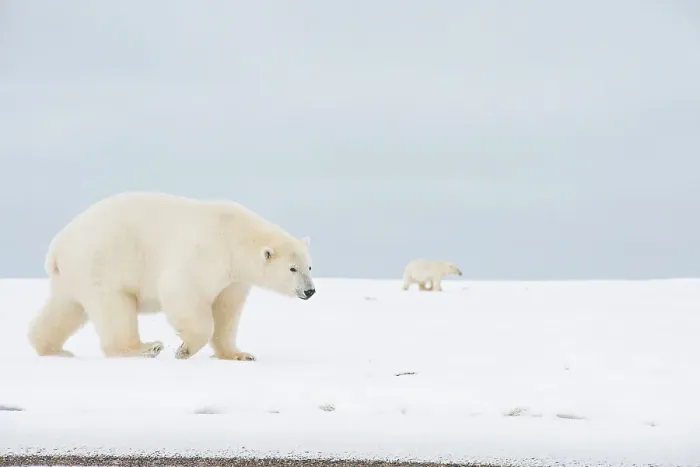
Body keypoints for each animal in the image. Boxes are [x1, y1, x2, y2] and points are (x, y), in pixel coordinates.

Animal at [27, 191, 316, 361]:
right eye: (293, 269)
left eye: (310, 267)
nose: (310, 290)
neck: (235, 236)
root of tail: (57, 247)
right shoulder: (205, 252)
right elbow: (183, 292)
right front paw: (184, 349)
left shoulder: (233, 278)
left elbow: (227, 309)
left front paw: (239, 354)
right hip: (100, 264)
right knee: (114, 307)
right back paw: (145, 347)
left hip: (74, 274)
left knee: (66, 308)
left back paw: (53, 349)